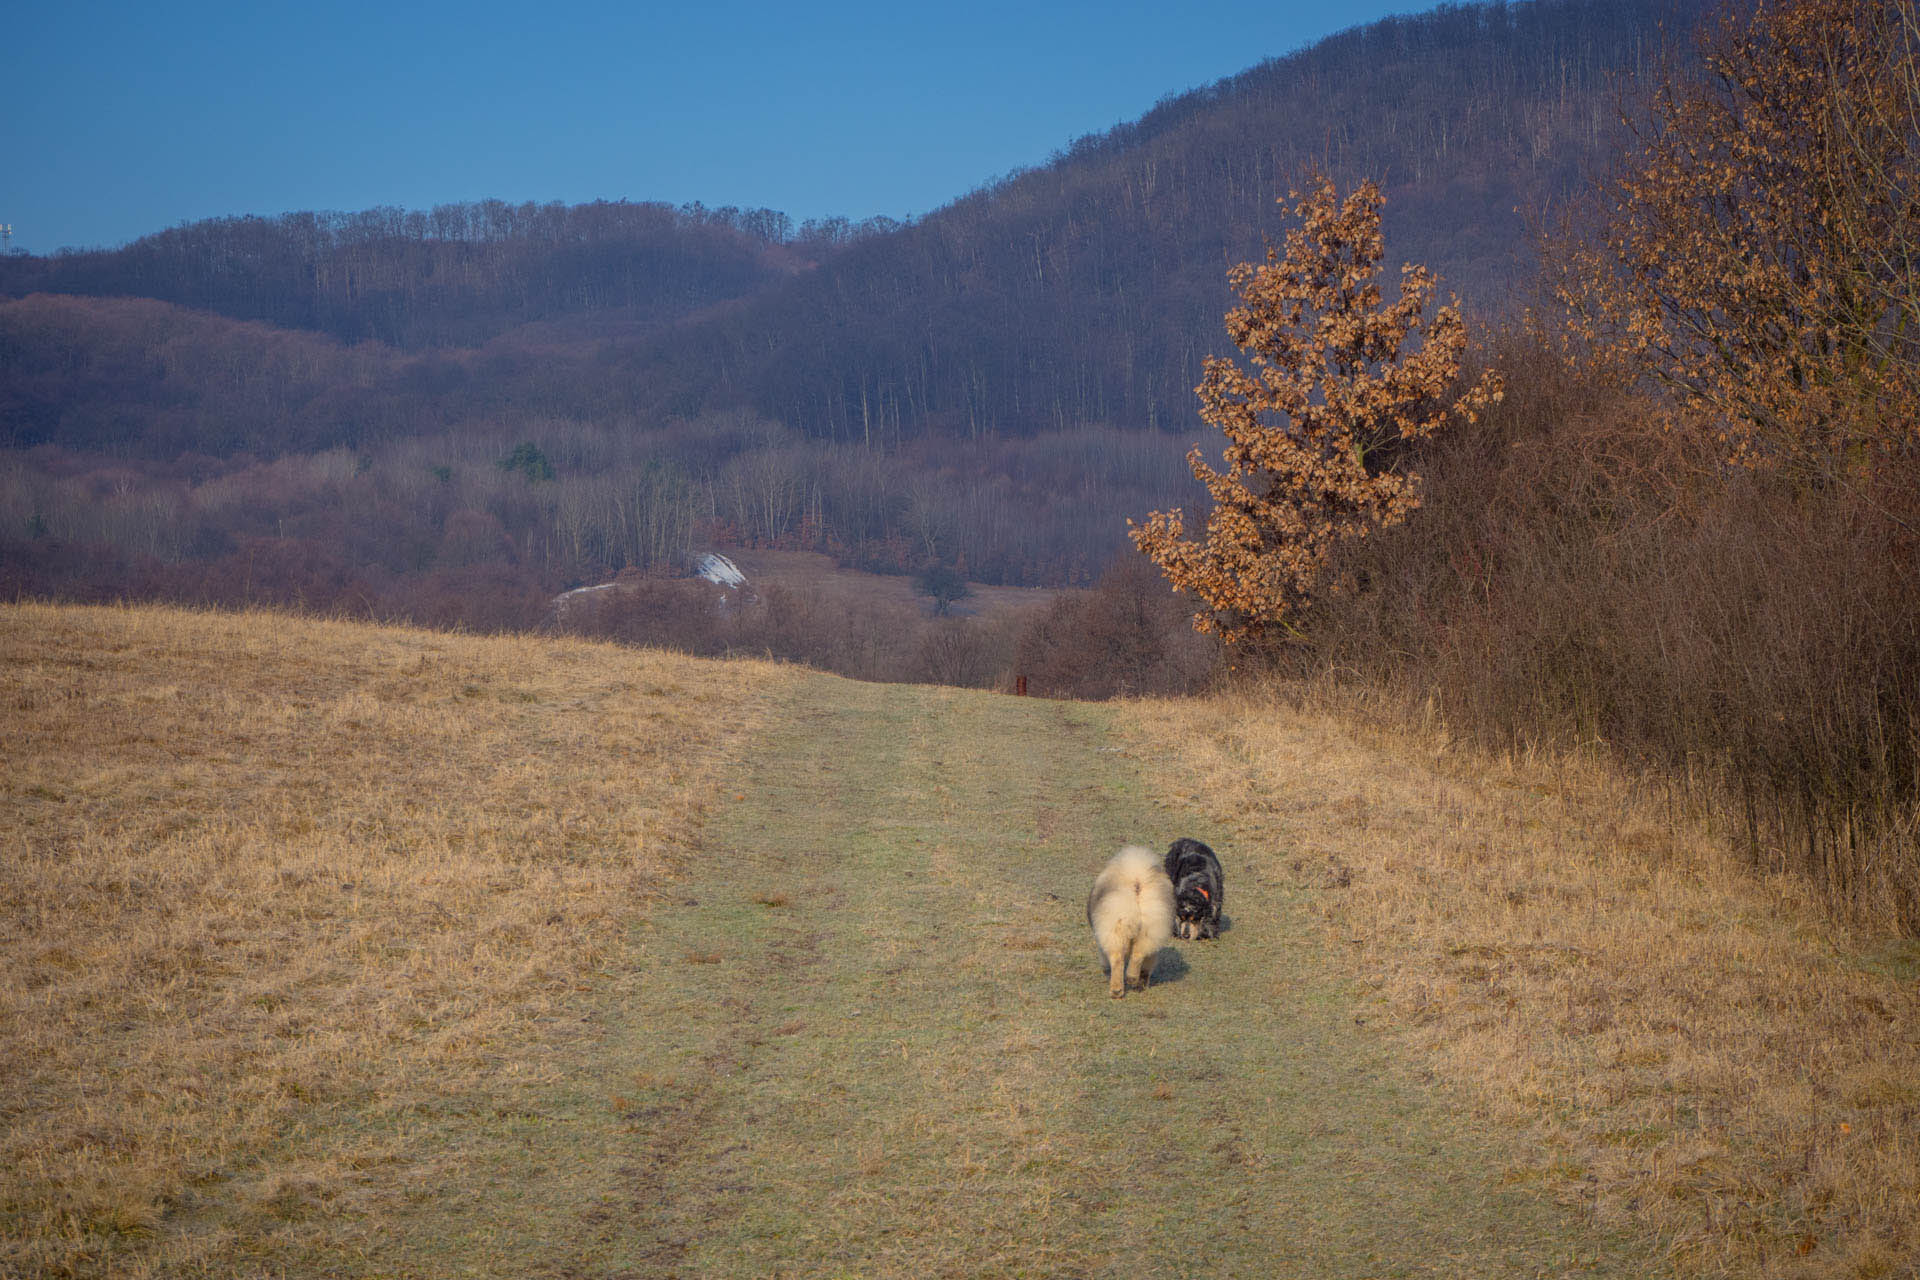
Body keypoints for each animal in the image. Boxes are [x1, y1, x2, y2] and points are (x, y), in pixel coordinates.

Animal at [1090, 852, 1175, 997]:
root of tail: (1136, 881)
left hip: (1116, 928)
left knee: (1117, 959)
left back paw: (1117, 989)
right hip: (1149, 929)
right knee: (1138, 955)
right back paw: (1131, 980)